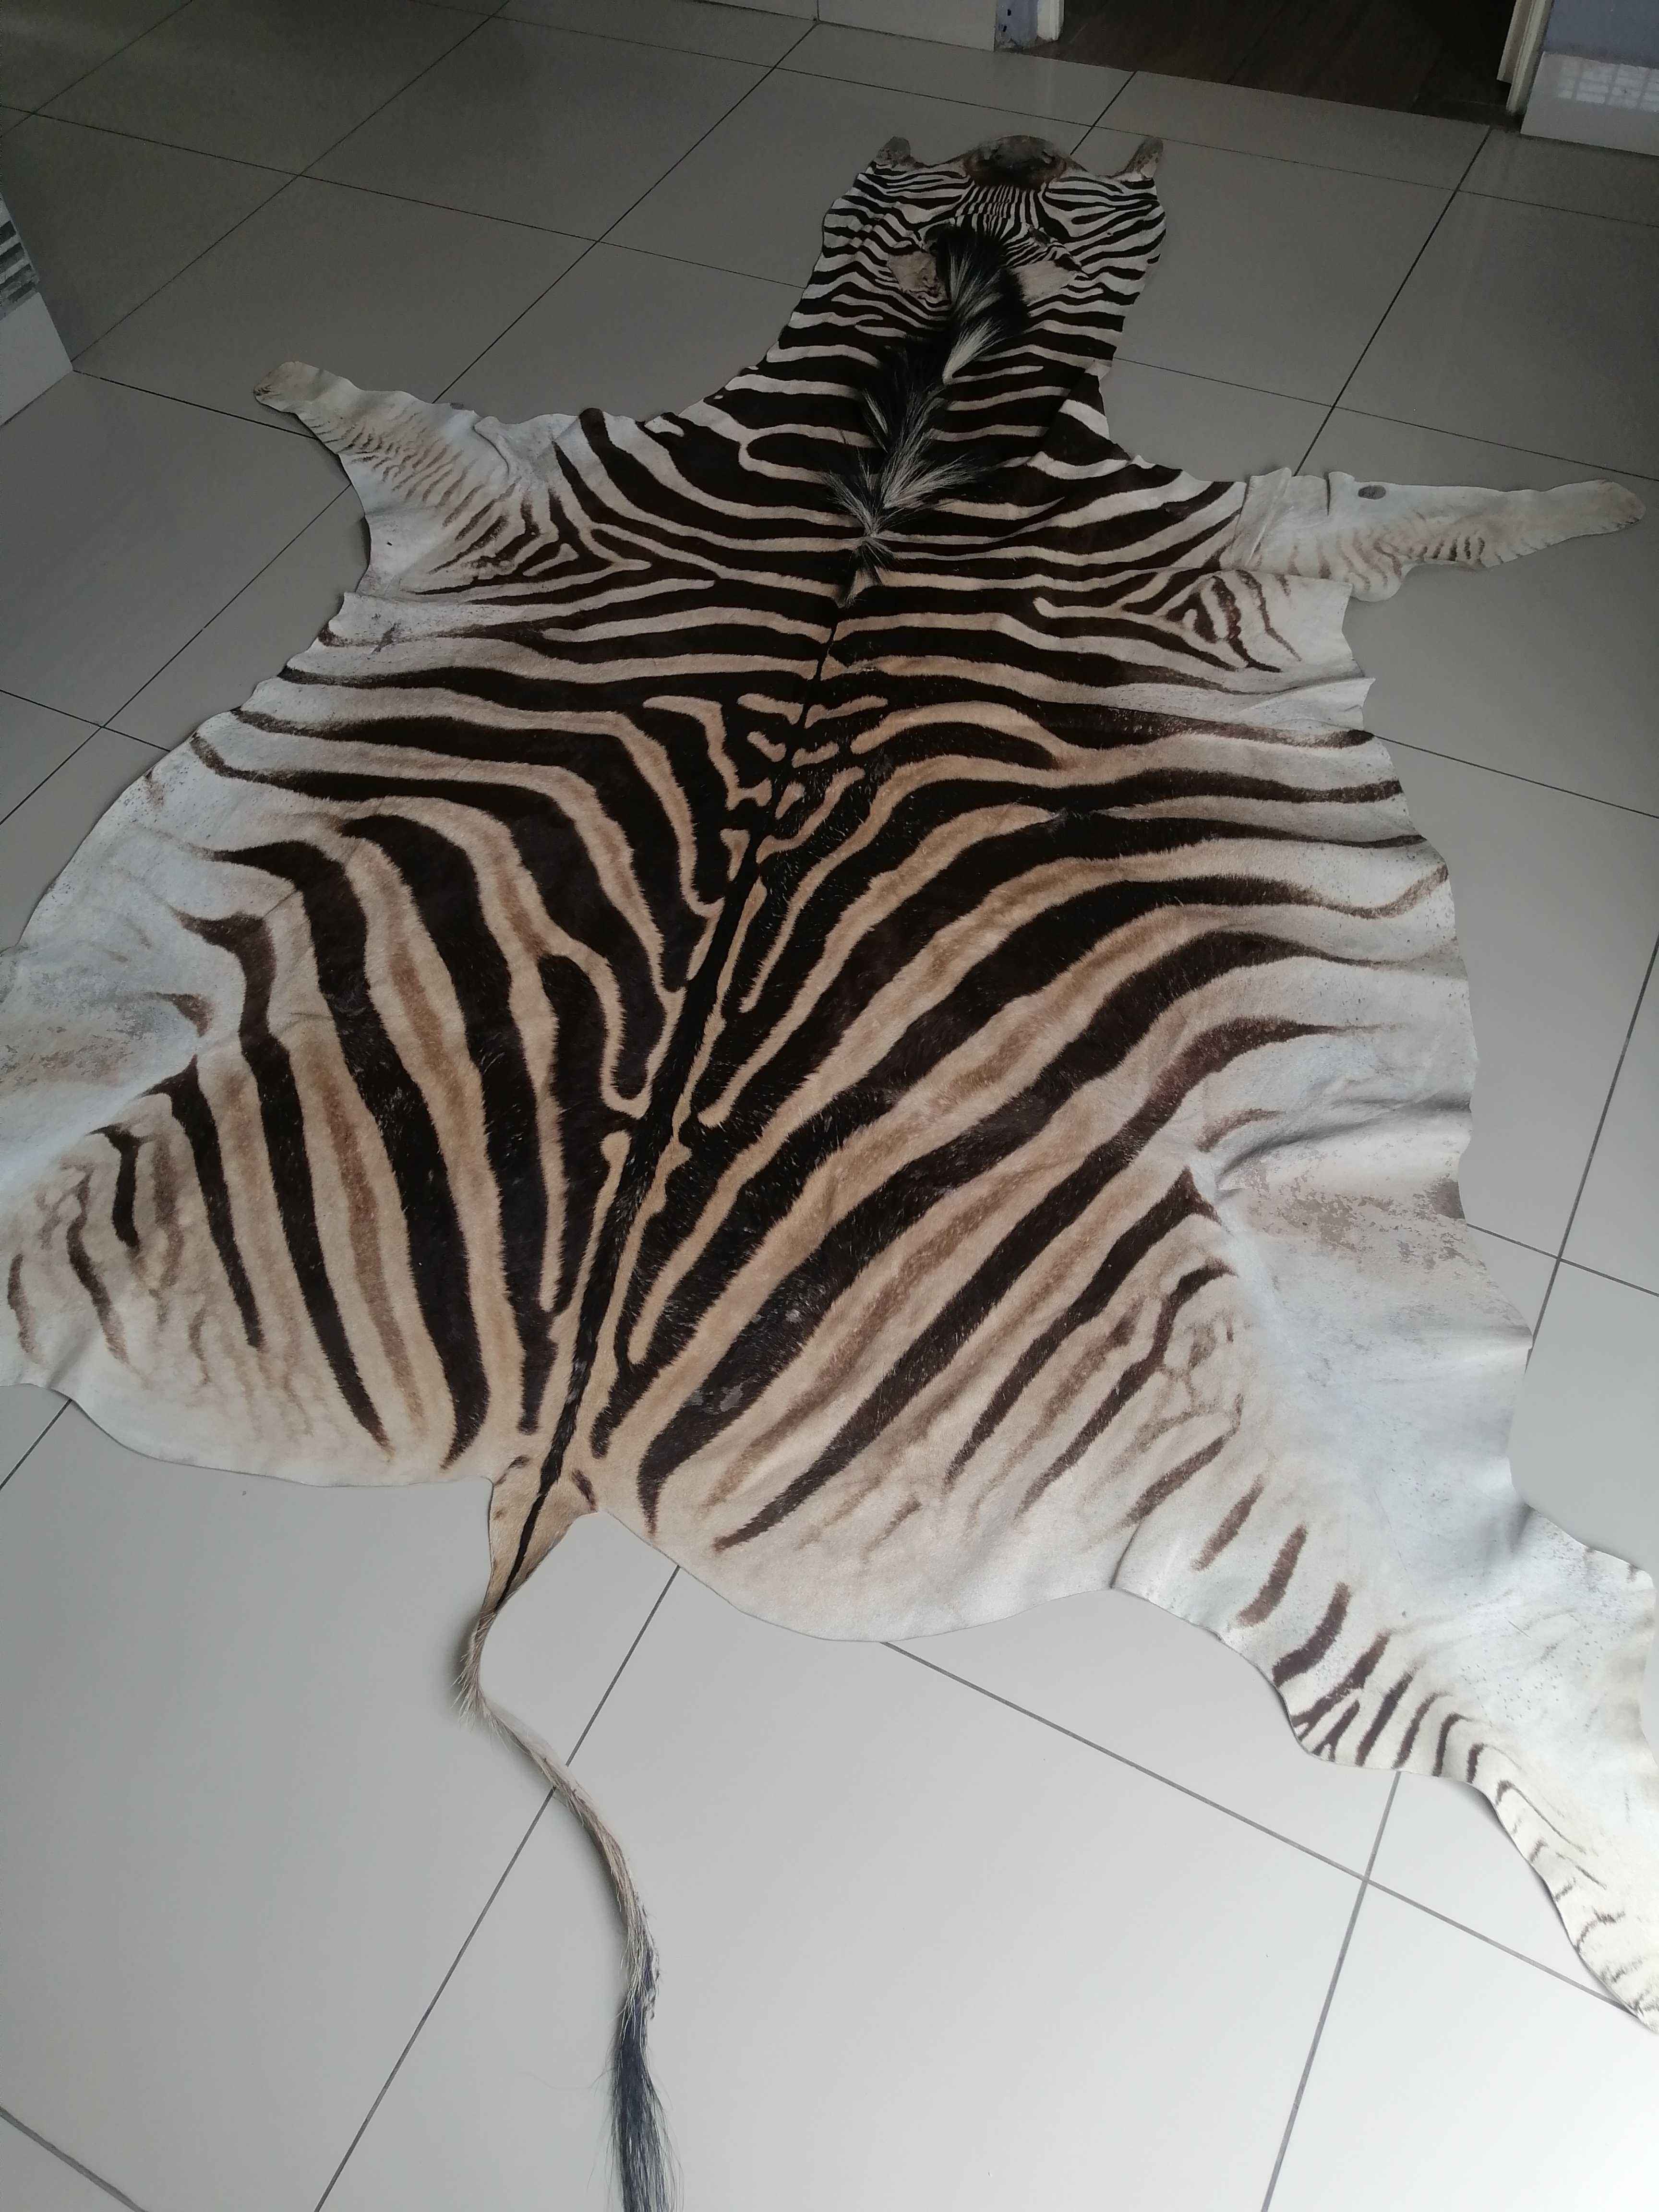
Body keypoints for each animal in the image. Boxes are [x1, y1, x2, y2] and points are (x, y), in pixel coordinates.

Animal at [0, 131, 1652, 2210]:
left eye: (1037, 197)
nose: (1018, 145)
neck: (925, 389)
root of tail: (557, 1426)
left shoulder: (562, 487)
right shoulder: (1230, 527)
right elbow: (1454, 511)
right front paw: (1619, 488)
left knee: (1450, 1645)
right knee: (1466, 1642)